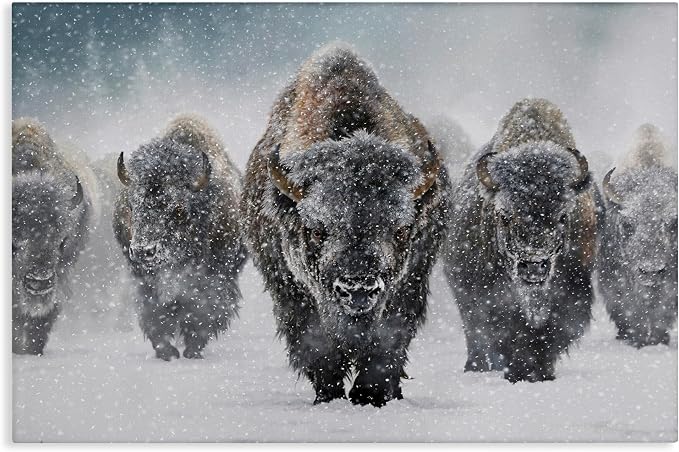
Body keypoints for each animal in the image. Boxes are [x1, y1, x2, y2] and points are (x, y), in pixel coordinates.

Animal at [113, 115, 246, 360]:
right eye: (132, 205)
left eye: (178, 210)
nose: (144, 251)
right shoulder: (144, 279)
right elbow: (154, 312)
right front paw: (167, 351)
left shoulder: (216, 276)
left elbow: (205, 310)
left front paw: (193, 349)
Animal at [241, 44, 449, 407]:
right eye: (316, 230)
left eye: (401, 230)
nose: (358, 288)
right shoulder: (294, 295)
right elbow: (318, 349)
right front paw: (330, 396)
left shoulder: (408, 286)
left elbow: (386, 347)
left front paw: (370, 396)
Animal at [443, 98, 601, 382]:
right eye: (505, 215)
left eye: (563, 216)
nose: (534, 266)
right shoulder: (488, 294)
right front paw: (517, 371)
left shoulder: (572, 292)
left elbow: (550, 331)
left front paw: (539, 372)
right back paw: (476, 366)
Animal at [599, 123, 677, 347]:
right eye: (628, 224)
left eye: (673, 223)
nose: (651, 271)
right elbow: (629, 311)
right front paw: (635, 339)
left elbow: (662, 313)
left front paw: (658, 339)